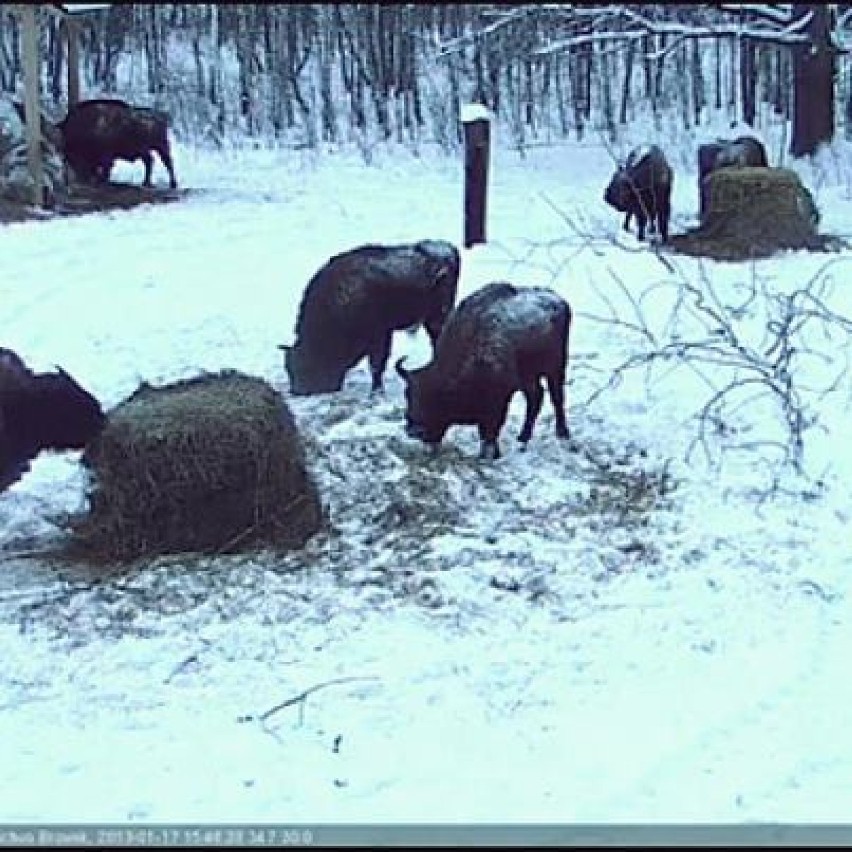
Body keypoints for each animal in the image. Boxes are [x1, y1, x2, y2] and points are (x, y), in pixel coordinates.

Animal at [282, 240, 460, 396]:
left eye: (304, 364)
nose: (299, 390)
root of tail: (449, 249)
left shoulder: (379, 335)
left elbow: (376, 364)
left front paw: (376, 392)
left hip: (437, 316)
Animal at [394, 282, 568, 460]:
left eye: (433, 398)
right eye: (408, 395)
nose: (414, 430)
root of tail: (558, 300)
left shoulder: (499, 400)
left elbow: (490, 429)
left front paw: (491, 453)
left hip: (555, 369)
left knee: (556, 398)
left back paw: (562, 434)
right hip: (529, 377)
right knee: (536, 397)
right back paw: (522, 438)